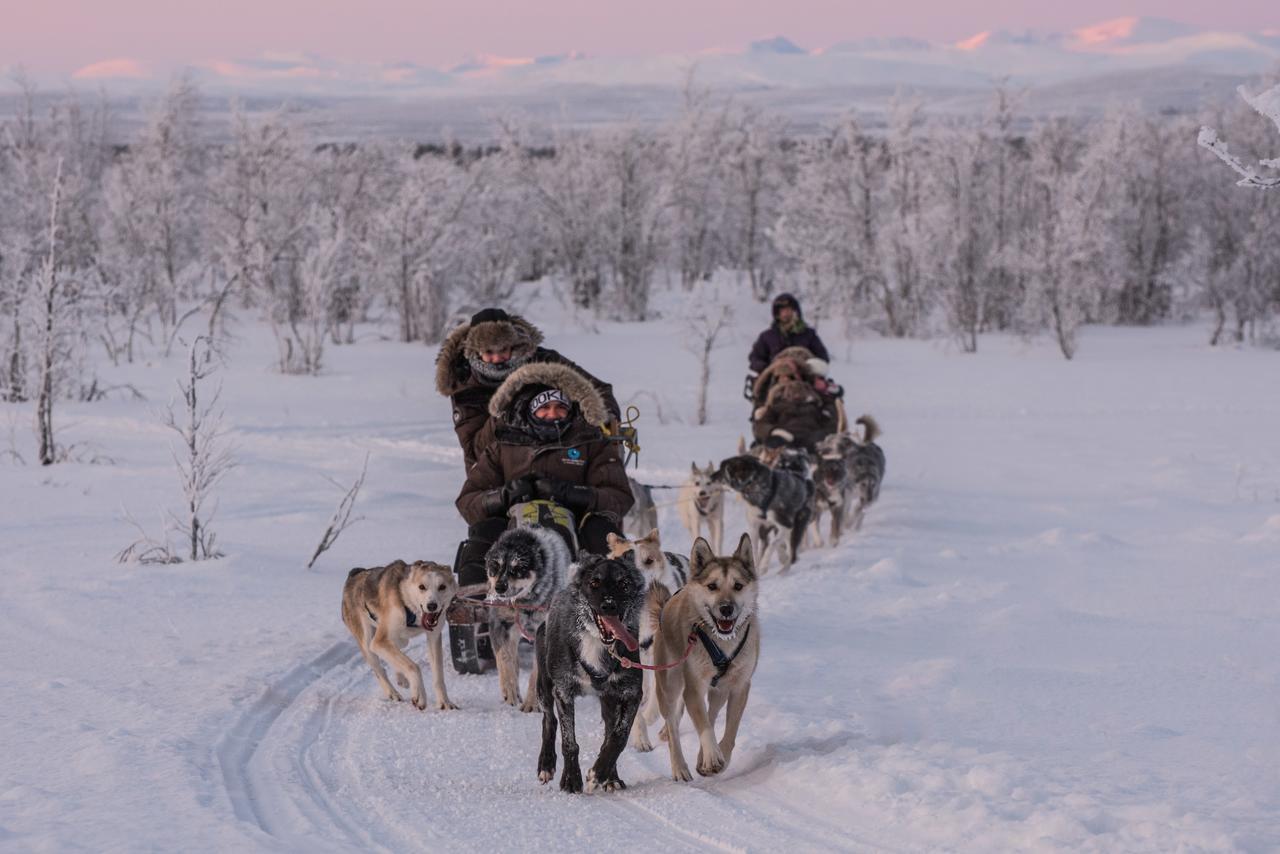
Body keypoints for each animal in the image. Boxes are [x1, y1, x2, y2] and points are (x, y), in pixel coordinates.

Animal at [340, 560, 460, 717]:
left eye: (442, 587)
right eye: (422, 587)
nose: (432, 606)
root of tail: (355, 573)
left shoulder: (433, 637)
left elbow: (438, 676)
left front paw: (444, 702)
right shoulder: (379, 641)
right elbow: (413, 666)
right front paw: (419, 695)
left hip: (400, 640)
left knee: (397, 652)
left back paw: (401, 677)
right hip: (368, 643)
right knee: (380, 670)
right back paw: (392, 693)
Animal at [483, 524, 570, 711]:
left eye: (518, 569)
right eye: (495, 566)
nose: (500, 587)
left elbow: (536, 673)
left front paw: (531, 703)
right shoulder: (499, 624)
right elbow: (504, 659)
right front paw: (509, 690)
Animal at [535, 555, 645, 793]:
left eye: (624, 584)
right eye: (594, 582)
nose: (609, 605)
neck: (598, 643)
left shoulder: (631, 693)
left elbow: (618, 737)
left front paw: (599, 774)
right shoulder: (564, 692)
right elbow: (569, 742)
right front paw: (570, 779)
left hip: (610, 701)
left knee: (609, 732)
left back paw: (610, 777)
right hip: (544, 686)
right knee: (549, 720)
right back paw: (546, 764)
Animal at [655, 537, 752, 783]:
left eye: (738, 586)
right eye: (712, 586)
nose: (726, 608)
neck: (722, 642)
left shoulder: (740, 686)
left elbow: (730, 729)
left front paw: (718, 757)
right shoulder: (693, 687)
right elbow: (704, 727)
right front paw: (711, 756)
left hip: (719, 691)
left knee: (712, 712)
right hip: (669, 685)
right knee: (672, 725)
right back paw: (679, 766)